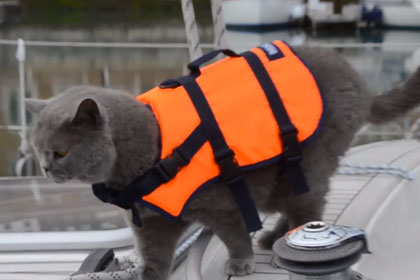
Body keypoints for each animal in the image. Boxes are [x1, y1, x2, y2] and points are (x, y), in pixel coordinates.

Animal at [25, 46, 420, 280]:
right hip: (278, 181)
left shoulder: (219, 203)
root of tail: (361, 83)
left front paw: (240, 262)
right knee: (296, 206)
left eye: (60, 152)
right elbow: (155, 254)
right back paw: (273, 237)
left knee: (308, 207)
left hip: (308, 162)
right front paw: (148, 275)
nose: (45, 168)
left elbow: (233, 233)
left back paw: (280, 242)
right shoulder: (153, 222)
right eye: (38, 148)